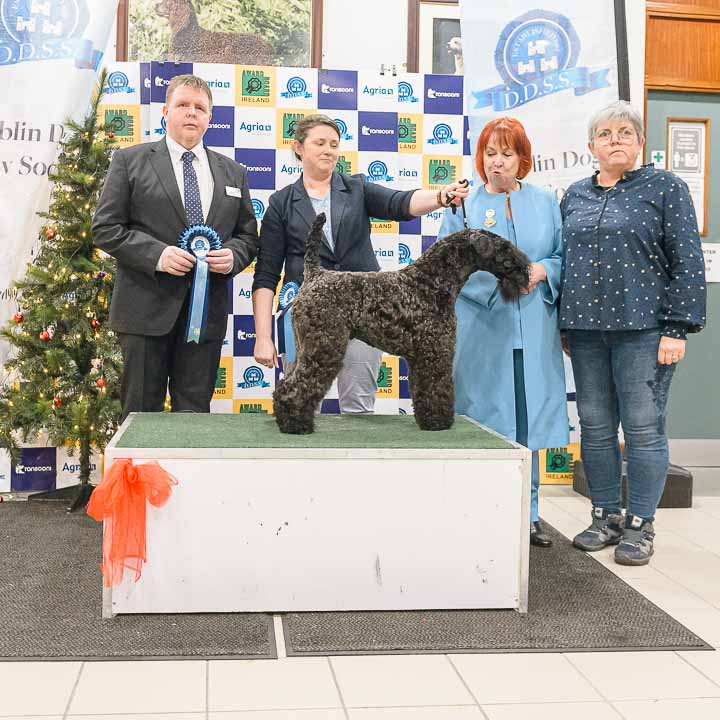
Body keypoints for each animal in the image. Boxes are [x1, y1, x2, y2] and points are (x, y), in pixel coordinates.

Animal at [273, 214, 530, 434]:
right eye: (504, 248)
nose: (525, 268)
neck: (431, 282)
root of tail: (314, 275)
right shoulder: (436, 352)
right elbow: (437, 385)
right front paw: (439, 421)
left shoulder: (419, 357)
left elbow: (422, 389)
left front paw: (428, 418)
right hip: (324, 347)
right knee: (297, 384)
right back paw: (296, 424)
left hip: (304, 346)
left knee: (286, 381)